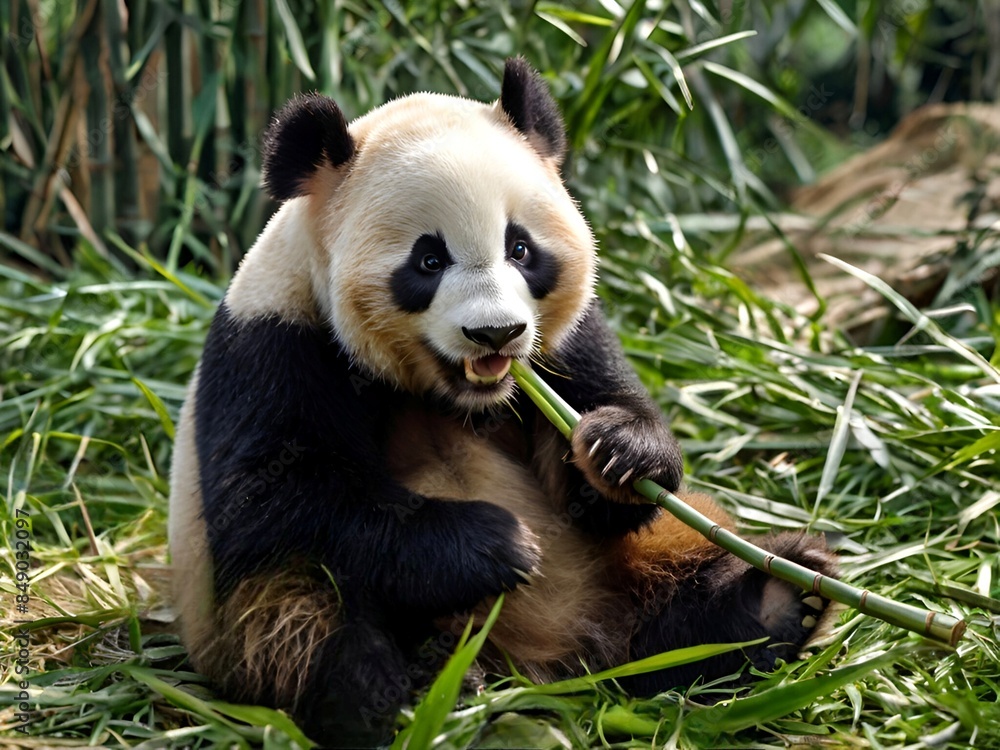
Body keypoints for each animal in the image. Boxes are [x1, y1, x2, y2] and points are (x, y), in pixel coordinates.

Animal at [169, 58, 836, 746]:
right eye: (428, 259)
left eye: (520, 248)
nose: (496, 333)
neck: (449, 391)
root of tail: (558, 657)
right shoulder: (273, 344)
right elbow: (273, 497)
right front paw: (496, 546)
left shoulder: (563, 343)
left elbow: (600, 449)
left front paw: (622, 452)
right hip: (242, 612)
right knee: (303, 607)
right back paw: (414, 692)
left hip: (629, 564)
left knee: (676, 566)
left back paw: (768, 605)